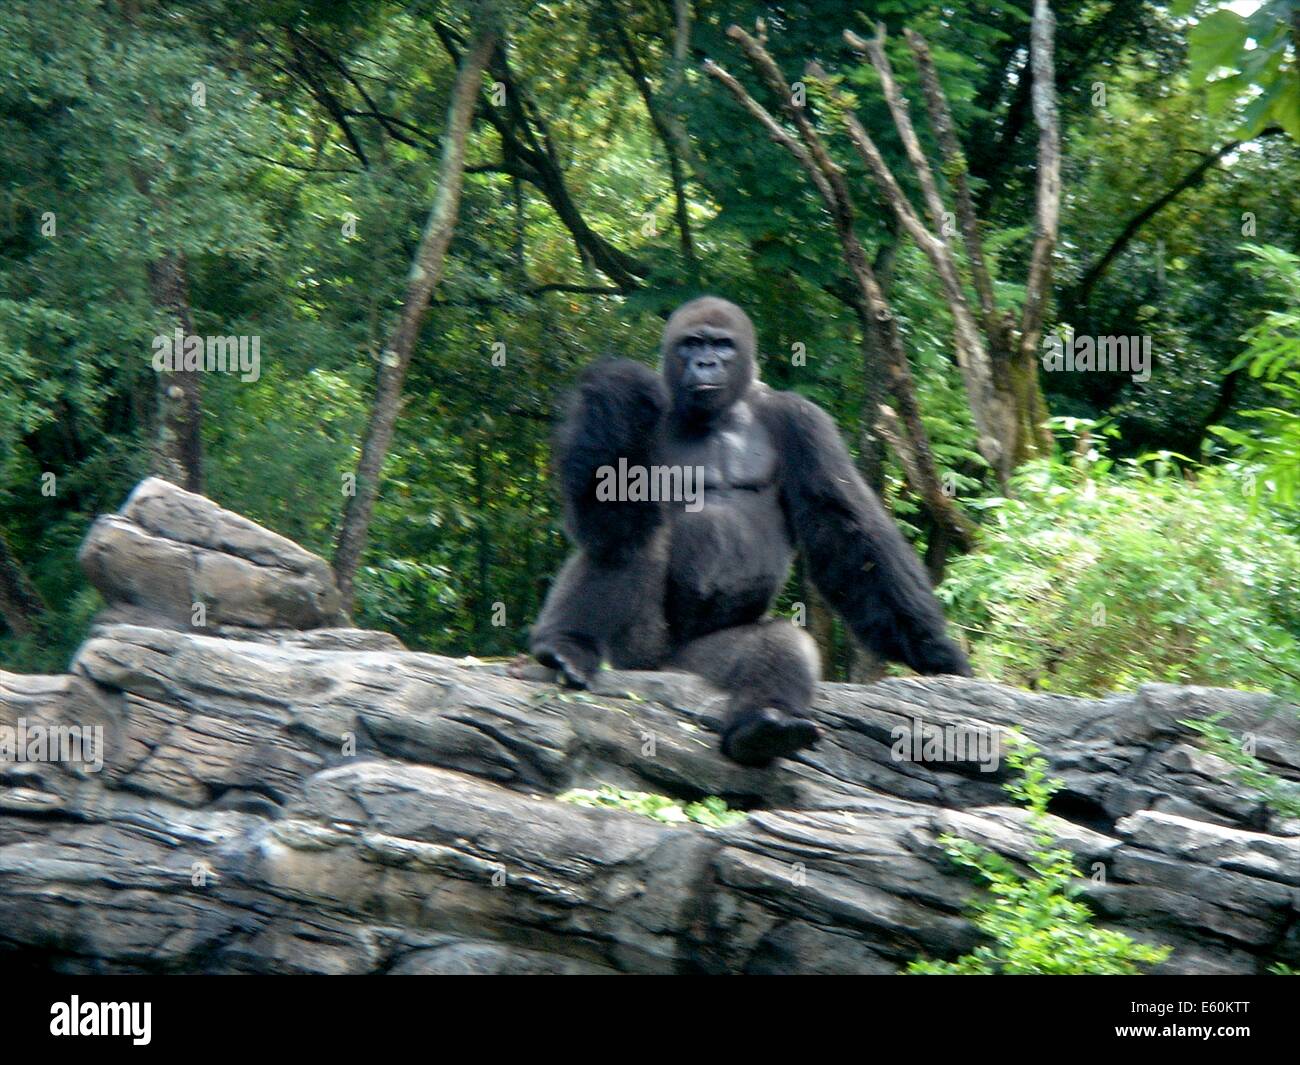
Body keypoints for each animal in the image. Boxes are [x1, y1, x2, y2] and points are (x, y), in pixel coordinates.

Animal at [532, 296, 971, 767]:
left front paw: (931, 647)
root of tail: (663, 667)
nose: (705, 363)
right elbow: (608, 515)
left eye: (722, 345)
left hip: (692, 665)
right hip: (636, 656)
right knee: (627, 544)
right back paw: (568, 645)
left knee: (777, 642)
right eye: (692, 344)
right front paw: (614, 395)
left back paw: (765, 724)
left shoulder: (802, 419)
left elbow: (845, 531)